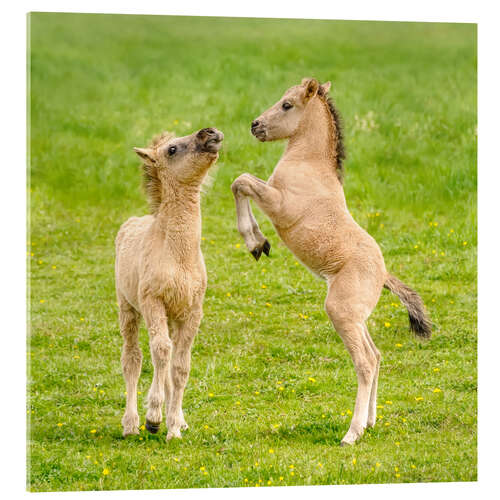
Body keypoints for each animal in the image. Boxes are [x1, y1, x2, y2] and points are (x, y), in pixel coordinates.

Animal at [116, 127, 224, 440]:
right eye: (172, 149)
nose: (210, 133)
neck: (178, 255)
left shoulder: (192, 311)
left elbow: (180, 366)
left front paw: (174, 426)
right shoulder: (153, 302)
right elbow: (160, 351)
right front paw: (153, 417)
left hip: (173, 316)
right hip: (128, 308)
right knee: (133, 359)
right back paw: (131, 424)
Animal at [230, 79, 430, 446]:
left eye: (287, 105)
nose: (255, 125)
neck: (308, 164)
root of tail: (383, 274)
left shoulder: (280, 204)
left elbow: (242, 181)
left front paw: (256, 242)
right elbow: (242, 182)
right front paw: (258, 243)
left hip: (340, 311)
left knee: (365, 362)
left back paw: (352, 432)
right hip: (356, 316)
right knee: (376, 355)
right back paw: (370, 422)